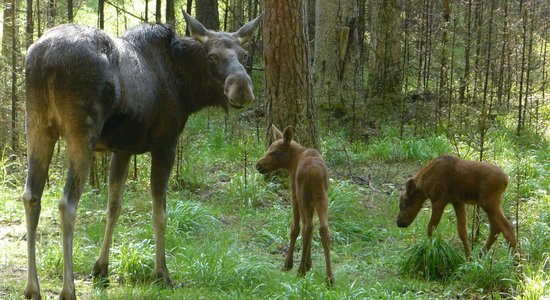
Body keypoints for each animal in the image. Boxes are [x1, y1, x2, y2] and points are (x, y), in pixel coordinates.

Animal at [21, 11, 264, 300]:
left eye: (245, 55)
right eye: (212, 56)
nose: (242, 89)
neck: (187, 89)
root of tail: (44, 59)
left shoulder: (122, 148)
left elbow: (114, 206)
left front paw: (101, 269)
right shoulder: (165, 144)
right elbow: (160, 213)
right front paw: (162, 273)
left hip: (37, 126)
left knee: (31, 196)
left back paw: (32, 288)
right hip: (81, 133)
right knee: (66, 203)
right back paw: (68, 290)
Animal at [256, 125, 336, 284]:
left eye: (274, 152)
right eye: (268, 150)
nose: (258, 165)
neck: (292, 163)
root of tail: (315, 173)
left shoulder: (294, 195)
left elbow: (294, 228)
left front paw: (290, 263)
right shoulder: (312, 202)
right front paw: (309, 263)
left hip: (302, 195)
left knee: (306, 227)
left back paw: (300, 271)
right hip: (322, 197)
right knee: (323, 229)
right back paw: (329, 277)